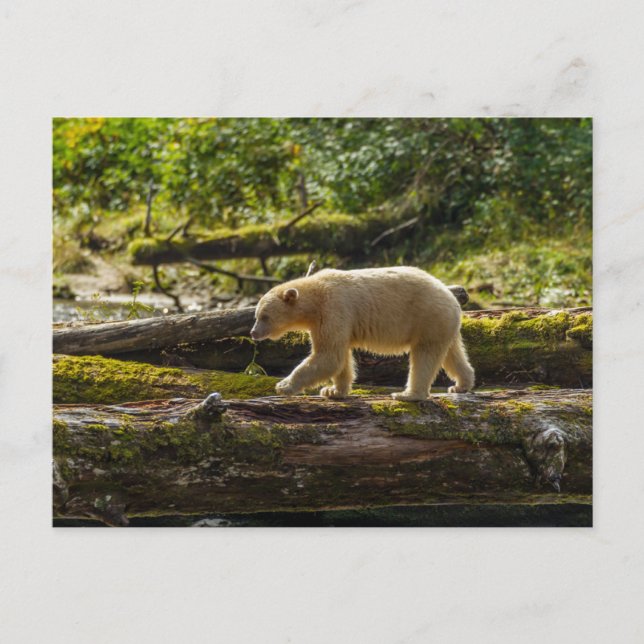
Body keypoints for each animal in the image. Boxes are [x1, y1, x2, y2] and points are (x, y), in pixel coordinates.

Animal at [250, 266, 475, 401]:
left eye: (264, 316)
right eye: (256, 315)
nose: (253, 333)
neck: (315, 297)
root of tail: (452, 298)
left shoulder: (333, 308)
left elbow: (328, 356)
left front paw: (283, 385)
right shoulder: (328, 320)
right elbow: (339, 357)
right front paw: (333, 391)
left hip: (427, 318)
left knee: (424, 356)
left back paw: (408, 394)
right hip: (443, 324)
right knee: (452, 353)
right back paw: (461, 385)